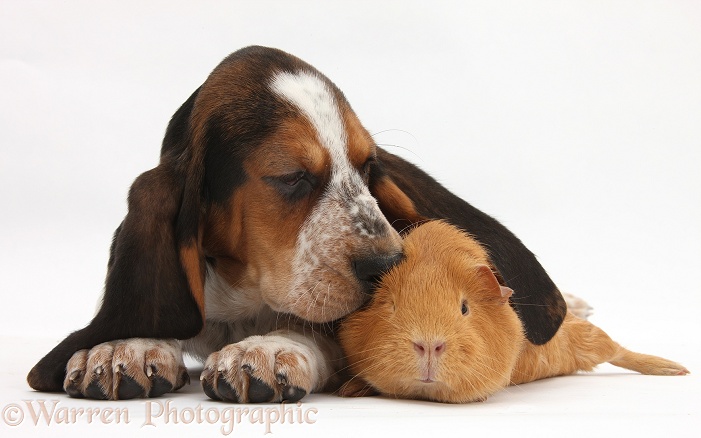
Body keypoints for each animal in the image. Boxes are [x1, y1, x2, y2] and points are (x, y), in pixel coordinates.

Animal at [26, 46, 568, 402]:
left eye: (368, 167)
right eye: (291, 177)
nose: (388, 264)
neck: (243, 303)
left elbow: (312, 329)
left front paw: (269, 349)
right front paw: (125, 345)